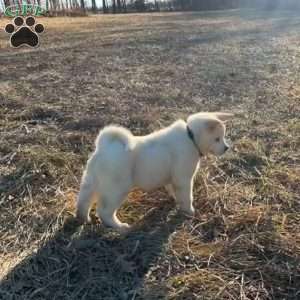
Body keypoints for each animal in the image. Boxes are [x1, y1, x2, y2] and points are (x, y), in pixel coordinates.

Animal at [76, 112, 233, 232]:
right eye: (217, 139)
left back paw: (83, 218)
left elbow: (176, 193)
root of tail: (103, 148)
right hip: (117, 190)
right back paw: (120, 227)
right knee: (104, 211)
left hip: (90, 182)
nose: (226, 148)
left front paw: (178, 203)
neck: (191, 137)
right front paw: (189, 211)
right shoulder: (184, 179)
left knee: (83, 201)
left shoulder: (173, 179)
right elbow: (187, 197)